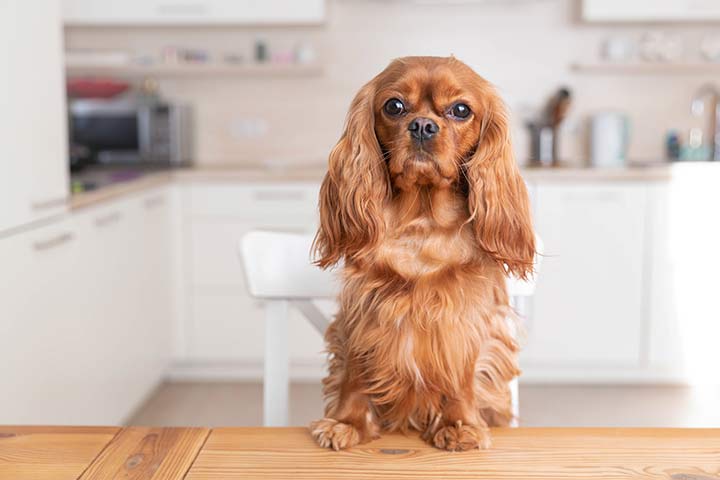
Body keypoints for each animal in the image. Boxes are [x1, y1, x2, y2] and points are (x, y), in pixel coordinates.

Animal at [308, 55, 536, 450]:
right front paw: (346, 422)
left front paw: (460, 425)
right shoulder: (363, 308)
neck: (422, 224)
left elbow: (461, 373)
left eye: (461, 110)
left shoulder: (465, 315)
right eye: (394, 106)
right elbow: (354, 371)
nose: (423, 126)